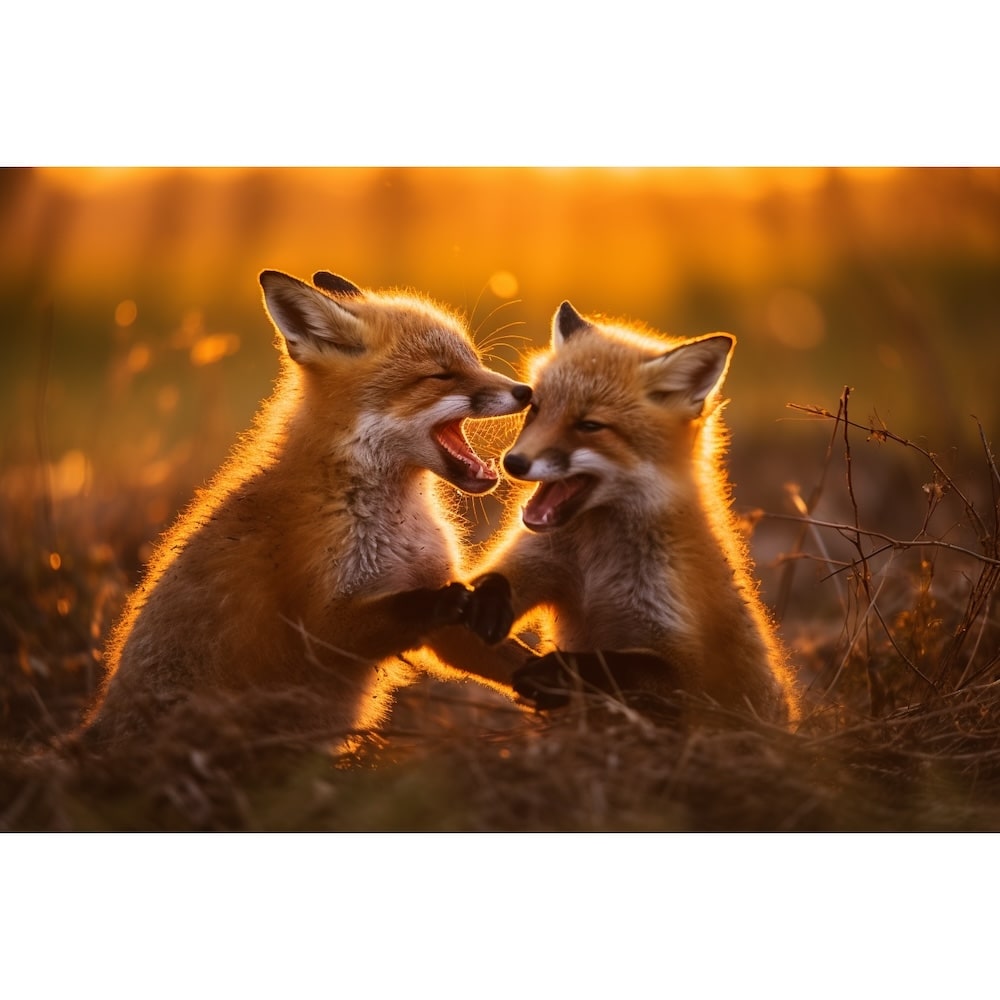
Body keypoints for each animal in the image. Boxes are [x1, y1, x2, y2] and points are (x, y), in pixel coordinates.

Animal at [83, 268, 532, 744]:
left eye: (475, 361)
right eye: (441, 375)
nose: (526, 391)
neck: (396, 526)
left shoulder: (436, 612)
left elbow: (514, 659)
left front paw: (560, 679)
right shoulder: (320, 626)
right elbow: (408, 607)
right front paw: (458, 598)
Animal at [478, 300, 797, 723]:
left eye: (589, 425)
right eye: (536, 410)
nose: (512, 463)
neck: (594, 569)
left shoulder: (688, 669)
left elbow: (622, 664)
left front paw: (558, 670)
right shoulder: (537, 561)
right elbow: (490, 578)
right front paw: (481, 604)